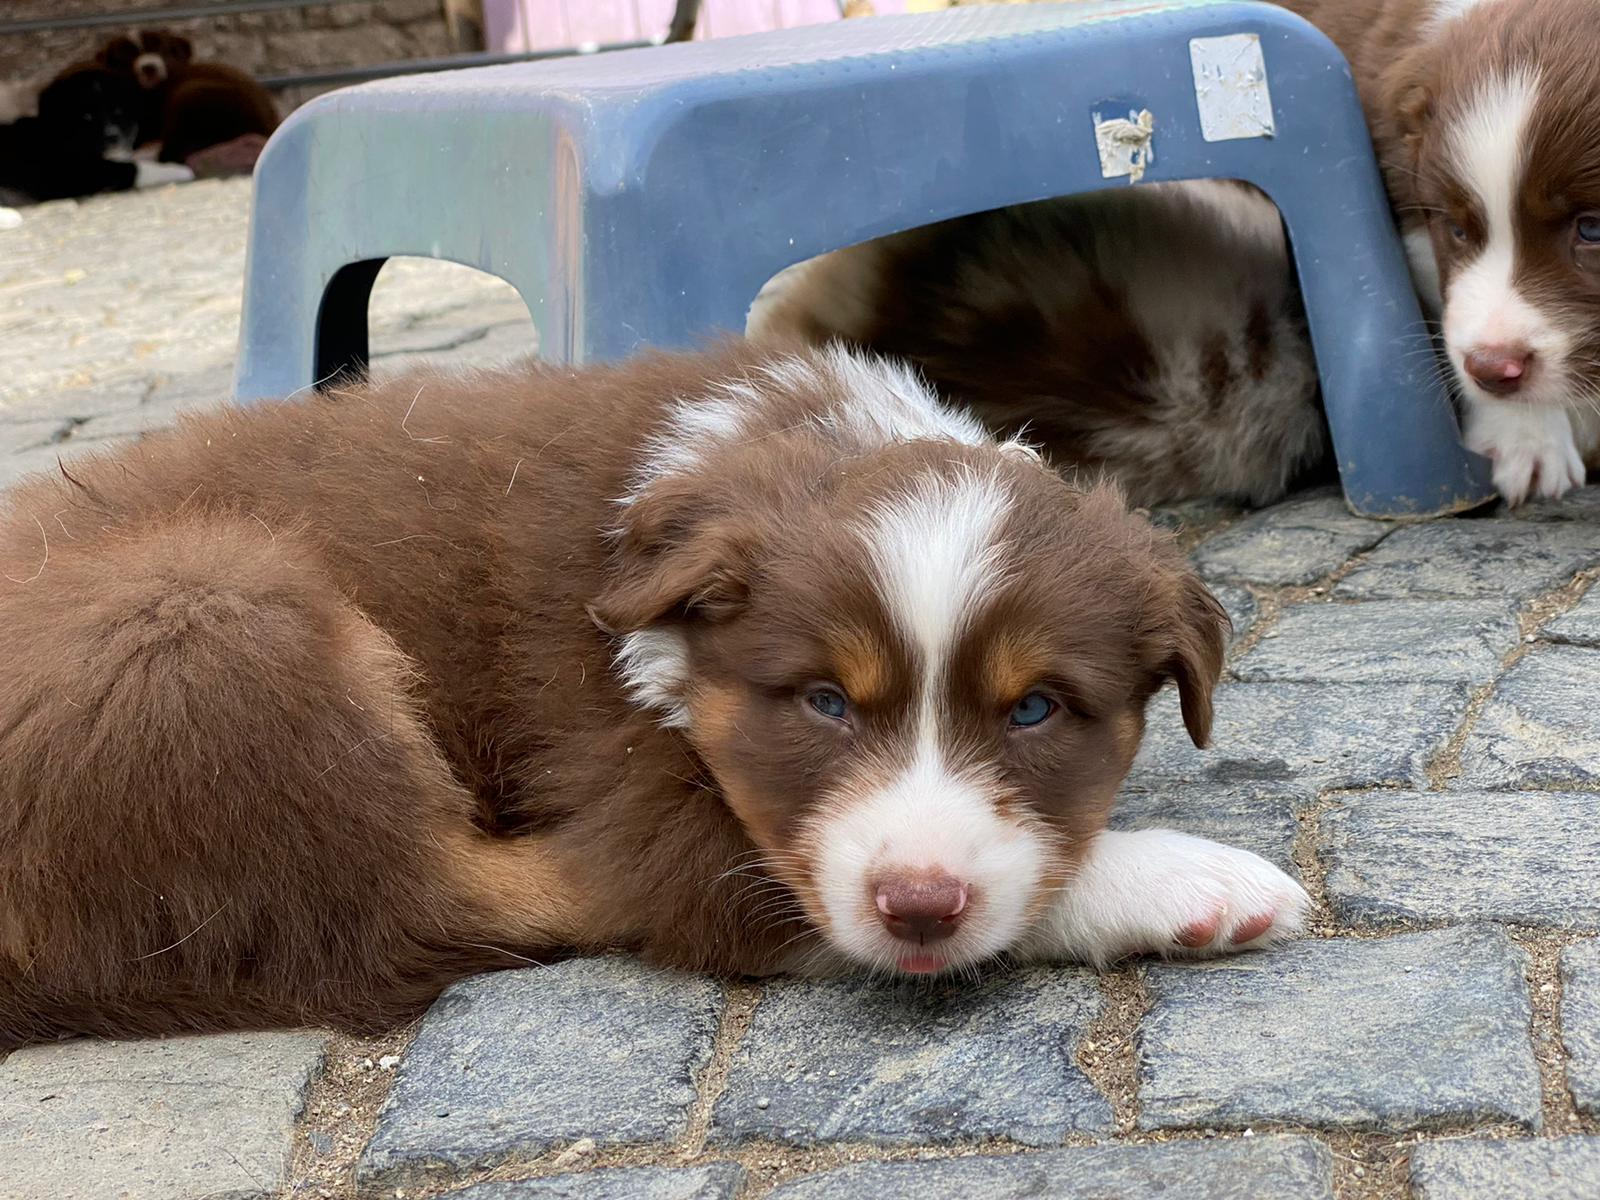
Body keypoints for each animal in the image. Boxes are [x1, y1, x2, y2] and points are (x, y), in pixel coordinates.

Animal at [0, 63, 192, 203]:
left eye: (118, 111)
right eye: (87, 116)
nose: (113, 137)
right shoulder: (76, 172)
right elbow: (134, 168)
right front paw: (179, 170)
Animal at [0, 343, 1307, 1048]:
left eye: (1034, 710)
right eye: (823, 703)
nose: (918, 905)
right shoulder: (629, 777)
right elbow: (728, 883)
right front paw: (1185, 881)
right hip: (212, 607)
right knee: (409, 906)